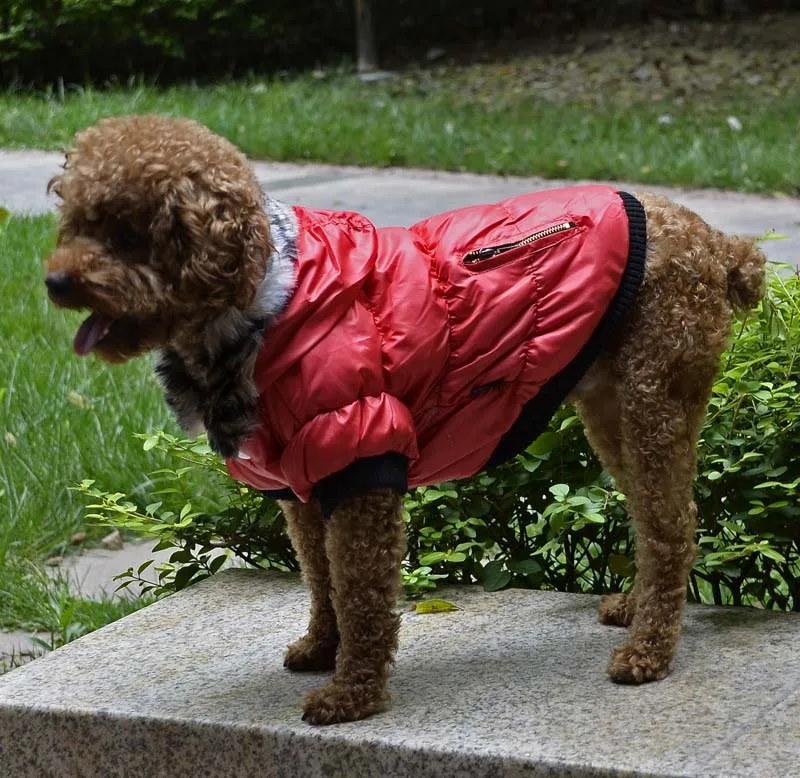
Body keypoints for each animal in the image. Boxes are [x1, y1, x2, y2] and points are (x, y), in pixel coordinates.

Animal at [42, 113, 764, 720]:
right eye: (74, 223)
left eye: (128, 234)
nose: (54, 281)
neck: (266, 301)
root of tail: (719, 244)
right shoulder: (302, 484)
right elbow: (321, 579)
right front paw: (320, 649)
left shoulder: (361, 460)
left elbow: (361, 592)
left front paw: (353, 694)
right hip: (611, 408)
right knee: (650, 516)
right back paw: (638, 610)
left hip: (653, 396)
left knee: (672, 525)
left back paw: (649, 651)